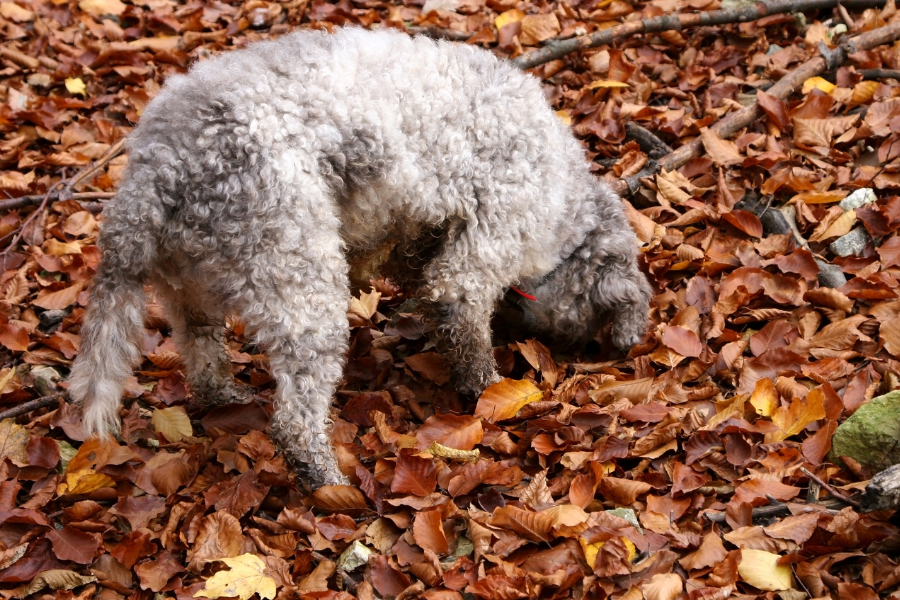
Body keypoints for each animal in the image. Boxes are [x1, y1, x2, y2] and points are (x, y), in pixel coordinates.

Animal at [67, 27, 652, 488]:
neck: (566, 202)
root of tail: (158, 168)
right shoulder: (476, 256)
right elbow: (464, 323)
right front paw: (491, 388)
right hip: (303, 288)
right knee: (295, 424)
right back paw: (327, 483)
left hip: (189, 291)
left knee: (204, 360)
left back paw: (228, 398)